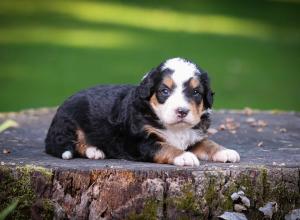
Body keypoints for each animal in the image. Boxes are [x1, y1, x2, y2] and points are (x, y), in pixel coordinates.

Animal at [45, 57, 241, 166]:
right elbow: (165, 146)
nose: (182, 111)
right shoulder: (139, 142)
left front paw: (225, 152)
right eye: (164, 91)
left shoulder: (194, 136)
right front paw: (184, 156)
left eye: (196, 92)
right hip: (69, 123)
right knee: (67, 143)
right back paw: (93, 150)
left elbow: (208, 143)